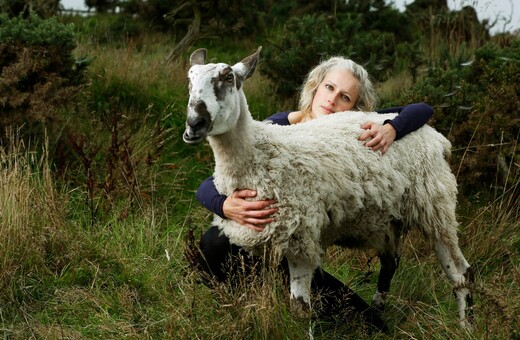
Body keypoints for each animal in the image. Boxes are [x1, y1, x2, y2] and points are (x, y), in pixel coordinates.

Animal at [184, 46, 476, 328]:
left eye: (228, 78)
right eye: (189, 79)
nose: (194, 125)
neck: (260, 151)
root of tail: (437, 137)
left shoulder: (300, 237)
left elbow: (300, 309)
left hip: (435, 205)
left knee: (461, 272)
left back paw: (465, 326)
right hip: (388, 220)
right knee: (390, 264)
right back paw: (376, 313)